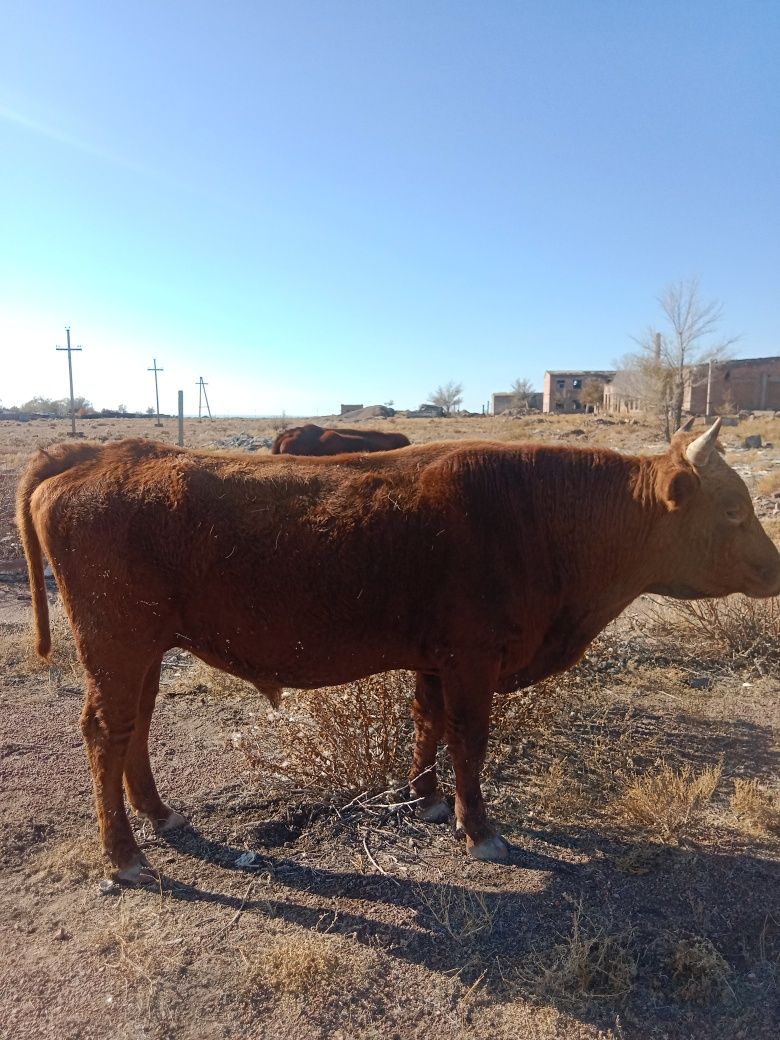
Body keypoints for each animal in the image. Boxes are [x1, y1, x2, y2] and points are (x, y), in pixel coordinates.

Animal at [13, 418, 780, 881]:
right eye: (734, 511)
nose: (776, 569)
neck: (539, 511)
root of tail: (100, 454)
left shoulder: (434, 659)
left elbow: (426, 723)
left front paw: (426, 798)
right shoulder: (472, 660)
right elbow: (468, 738)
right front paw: (478, 828)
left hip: (143, 649)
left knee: (135, 725)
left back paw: (159, 813)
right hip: (115, 646)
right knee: (104, 732)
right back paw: (124, 855)